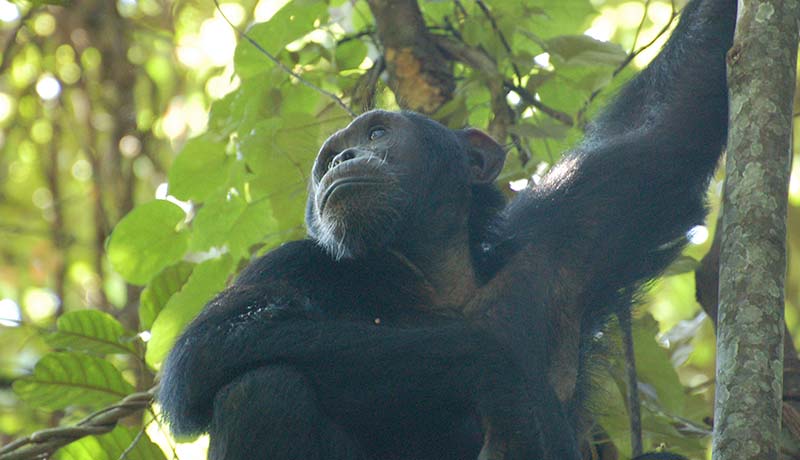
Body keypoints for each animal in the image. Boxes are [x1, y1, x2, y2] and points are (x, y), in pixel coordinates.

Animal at [158, 0, 736, 458]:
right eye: (326, 160)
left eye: (377, 133)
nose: (341, 156)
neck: (431, 273)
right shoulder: (286, 263)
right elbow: (208, 348)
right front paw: (505, 381)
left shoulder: (576, 224)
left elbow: (668, 131)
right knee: (259, 390)